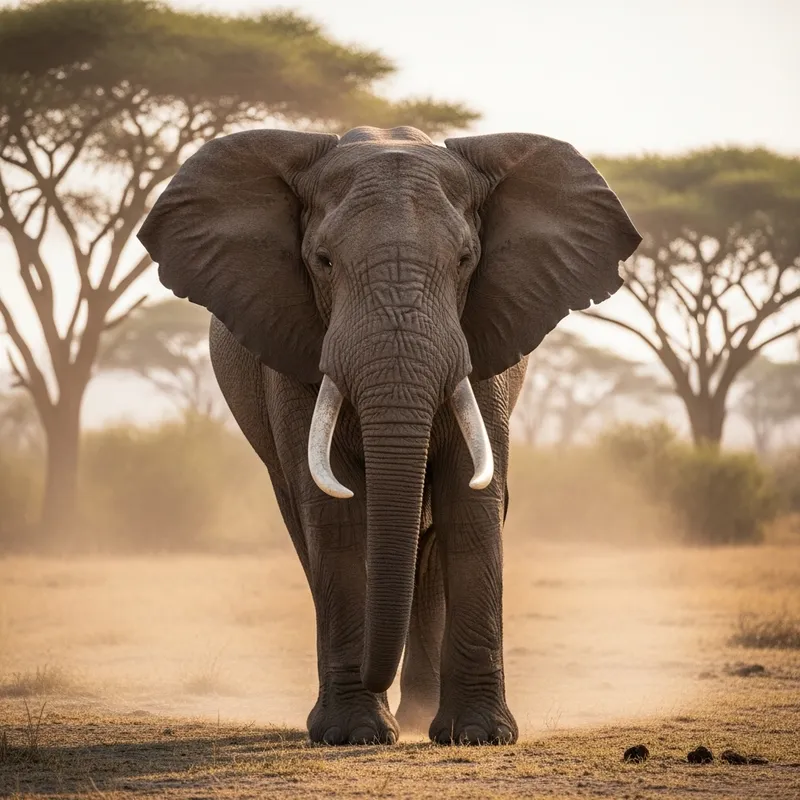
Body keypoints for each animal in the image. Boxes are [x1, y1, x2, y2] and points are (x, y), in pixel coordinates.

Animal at [137, 125, 640, 746]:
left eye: (466, 260)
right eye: (323, 261)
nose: (373, 673)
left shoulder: (485, 343)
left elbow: (470, 503)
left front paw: (478, 736)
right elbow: (331, 512)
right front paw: (353, 734)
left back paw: (420, 715)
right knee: (308, 525)